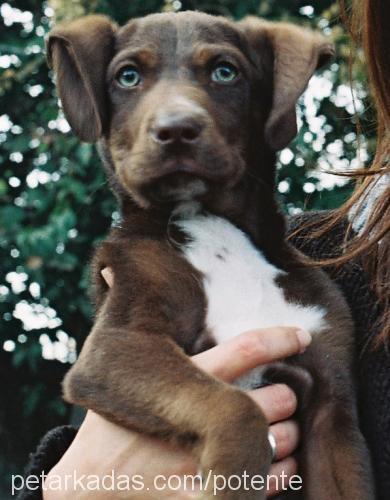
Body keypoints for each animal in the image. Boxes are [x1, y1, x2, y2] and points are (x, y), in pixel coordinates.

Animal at [48, 9, 374, 498]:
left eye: (225, 72)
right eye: (128, 76)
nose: (176, 130)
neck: (208, 221)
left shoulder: (332, 404)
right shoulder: (115, 345)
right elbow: (235, 407)